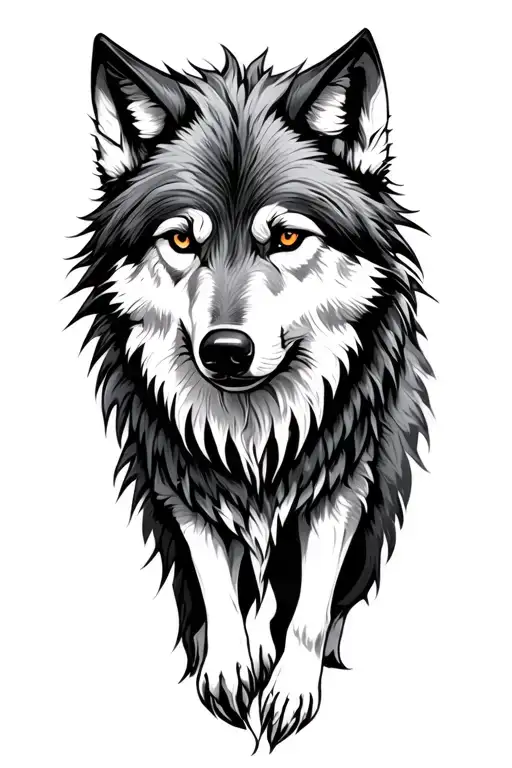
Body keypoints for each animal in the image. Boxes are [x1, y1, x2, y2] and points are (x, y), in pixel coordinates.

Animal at [69, 28, 432, 750]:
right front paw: (233, 667)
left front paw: (290, 689)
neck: (255, 433)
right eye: (182, 239)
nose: (225, 351)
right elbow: (214, 578)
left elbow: (310, 609)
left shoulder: (344, 480)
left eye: (287, 236)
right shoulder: (179, 479)